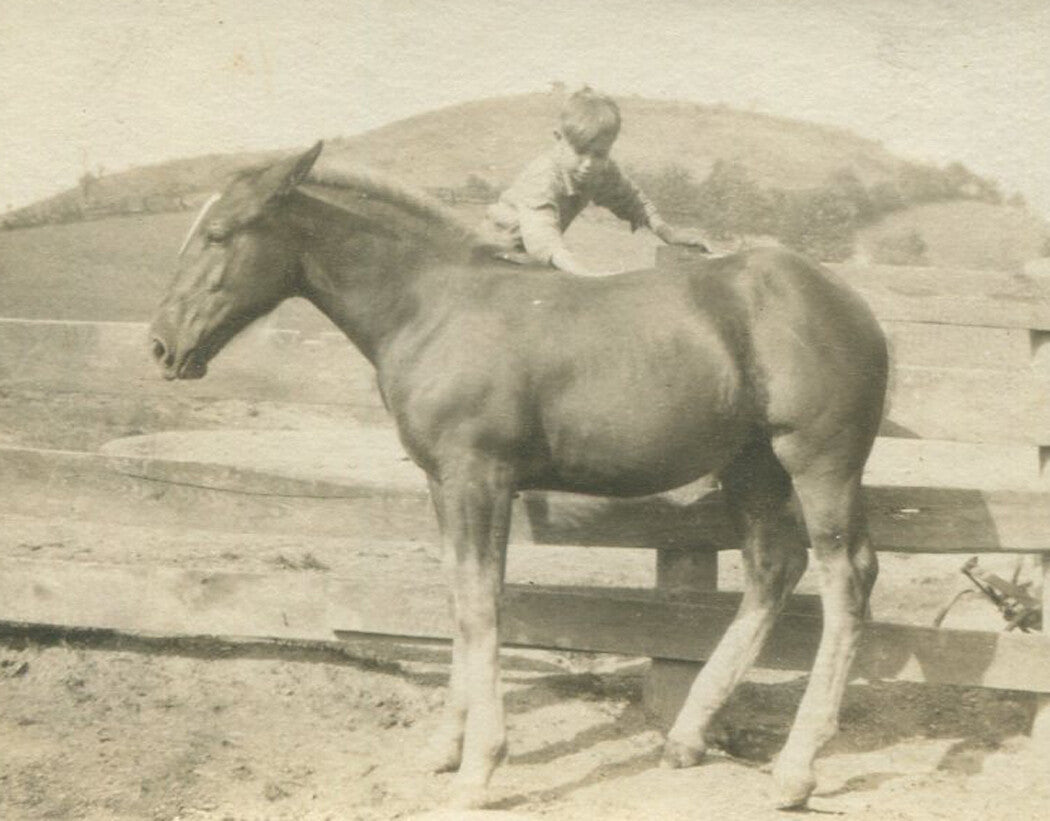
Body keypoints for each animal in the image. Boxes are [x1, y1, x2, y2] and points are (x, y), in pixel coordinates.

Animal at [149, 141, 888, 809]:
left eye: (218, 234)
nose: (161, 346)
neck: (434, 306)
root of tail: (853, 305)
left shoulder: (480, 478)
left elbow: (482, 605)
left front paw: (480, 767)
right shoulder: (443, 483)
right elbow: (459, 596)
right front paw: (444, 749)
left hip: (819, 463)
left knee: (847, 578)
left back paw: (795, 770)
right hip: (751, 466)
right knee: (774, 568)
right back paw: (687, 737)